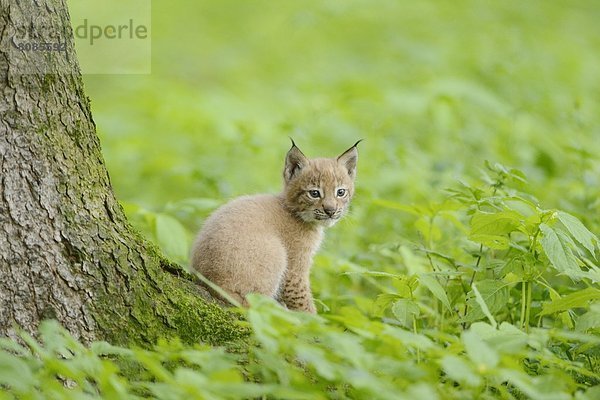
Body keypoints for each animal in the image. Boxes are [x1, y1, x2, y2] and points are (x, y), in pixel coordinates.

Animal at [192, 141, 358, 312]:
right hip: (276, 253)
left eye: (340, 192)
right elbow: (303, 302)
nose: (331, 211)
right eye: (314, 193)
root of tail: (209, 281)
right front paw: (311, 318)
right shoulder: (294, 270)